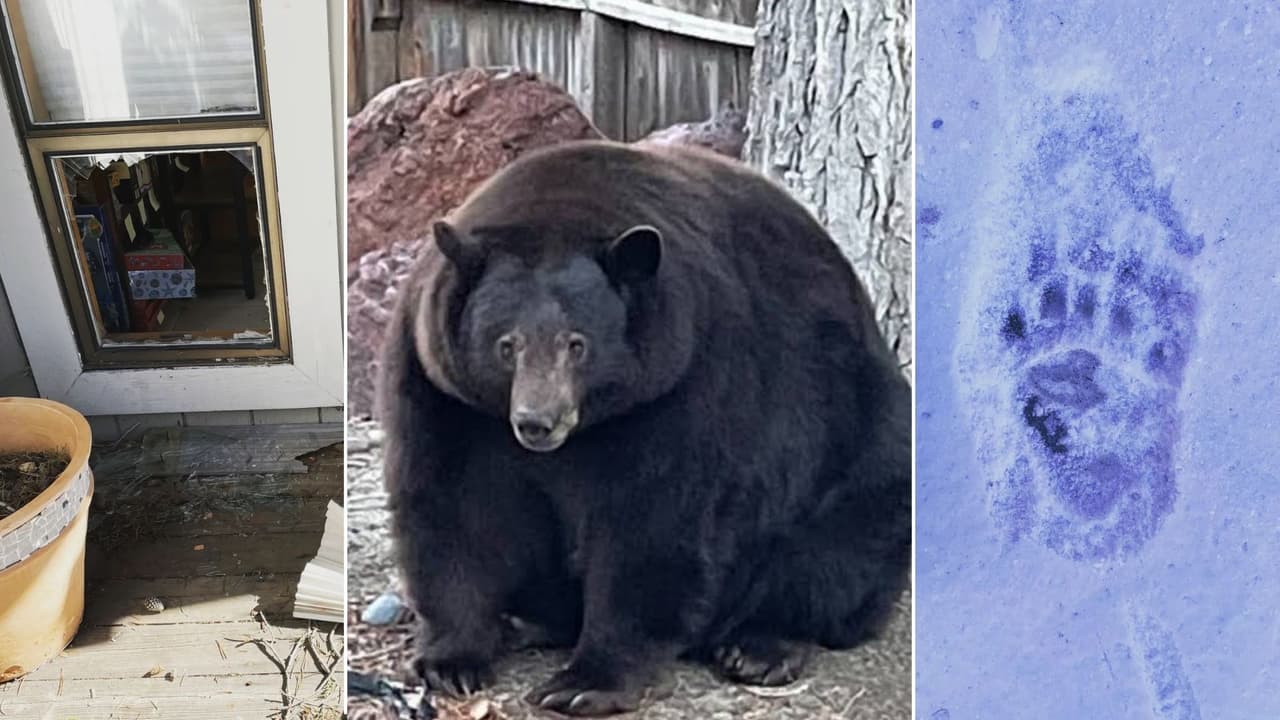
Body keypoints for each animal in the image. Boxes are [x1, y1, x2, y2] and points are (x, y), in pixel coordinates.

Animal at [379, 140, 911, 716]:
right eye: (507, 344)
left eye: (577, 343)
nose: (537, 422)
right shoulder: (443, 389)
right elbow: (455, 504)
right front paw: (452, 661)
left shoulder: (685, 380)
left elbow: (653, 521)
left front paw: (584, 682)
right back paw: (527, 620)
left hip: (856, 441)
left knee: (836, 550)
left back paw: (761, 646)